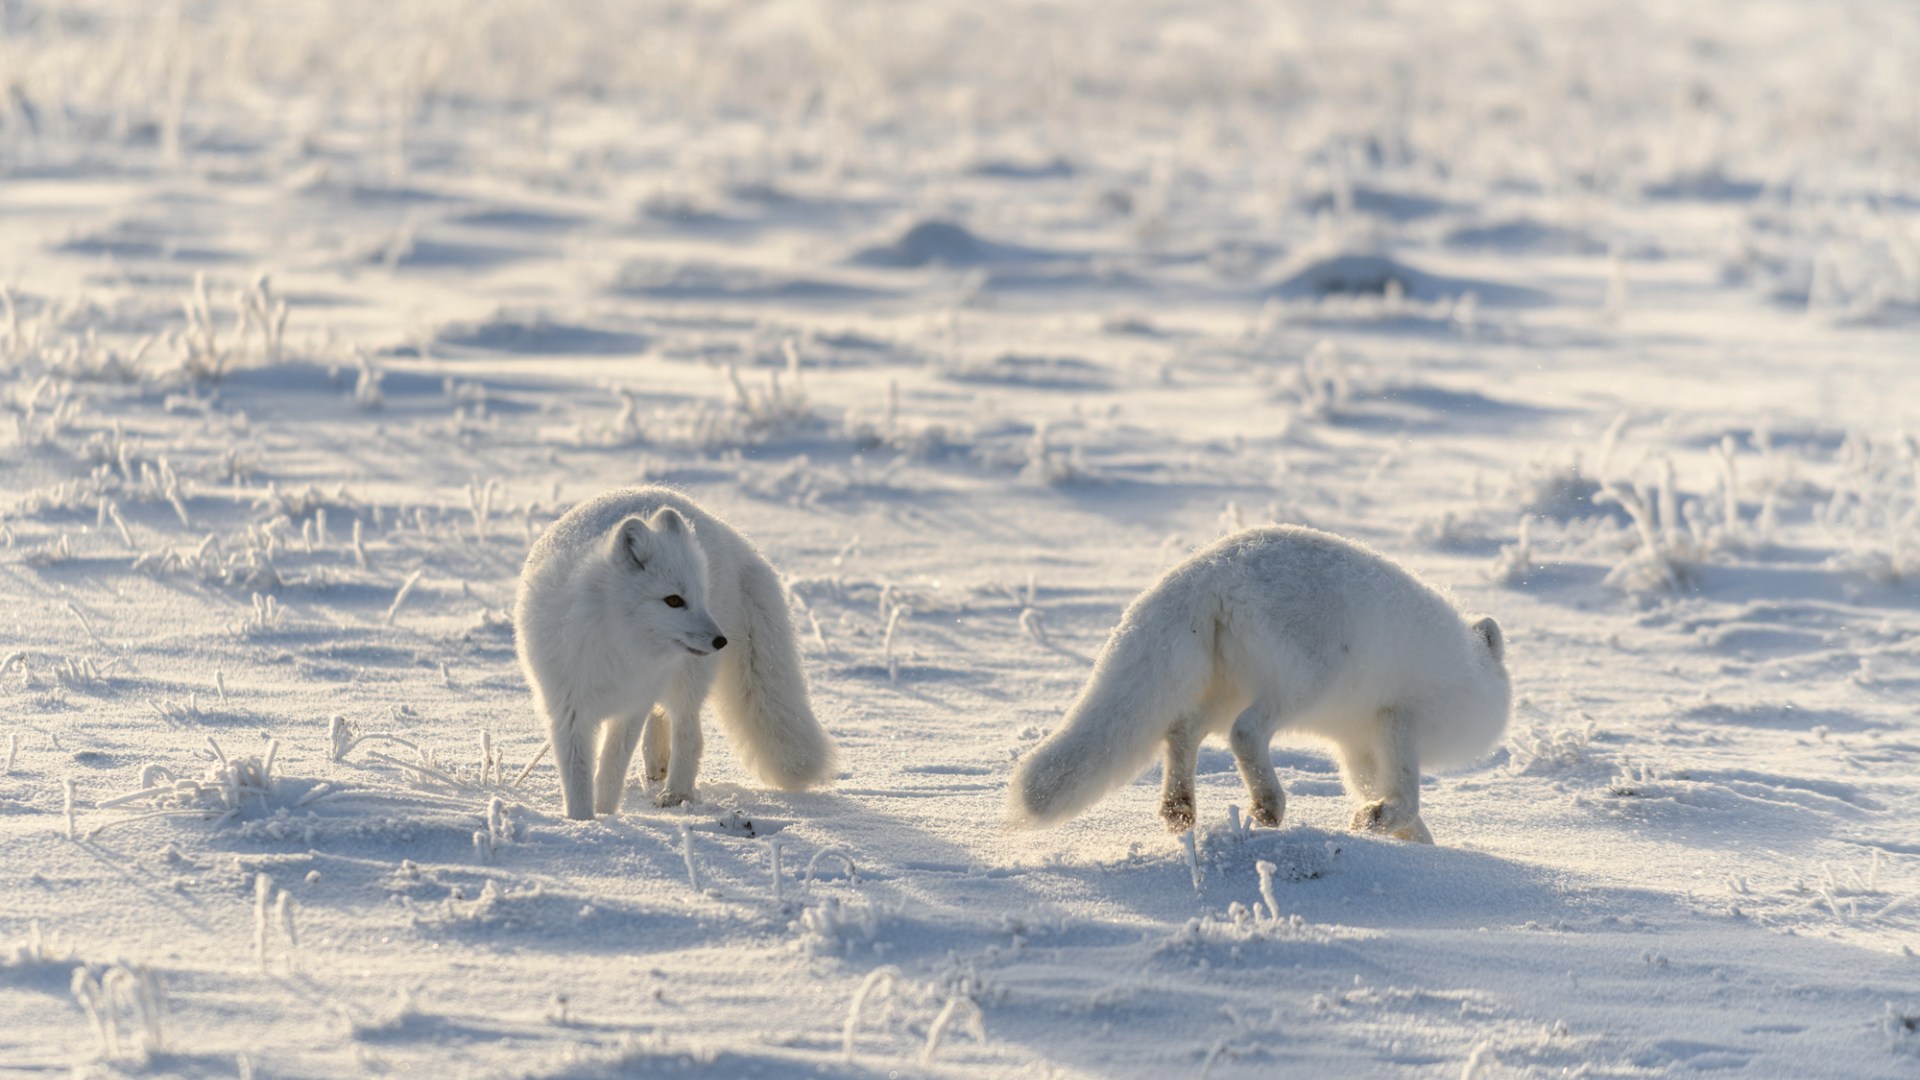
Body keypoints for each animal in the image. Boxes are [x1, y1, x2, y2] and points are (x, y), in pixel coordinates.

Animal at [514, 486, 837, 814]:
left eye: (700, 596)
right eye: (673, 600)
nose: (721, 641)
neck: (617, 645)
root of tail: (722, 527)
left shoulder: (632, 707)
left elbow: (610, 770)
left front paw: (605, 815)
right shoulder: (568, 711)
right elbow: (577, 779)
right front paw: (582, 821)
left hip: (686, 678)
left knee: (689, 733)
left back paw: (676, 793)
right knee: (661, 718)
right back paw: (657, 765)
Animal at [1006, 522, 1512, 841]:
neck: (1469, 673)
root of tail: (1212, 566)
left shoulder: (1358, 746)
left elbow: (1375, 789)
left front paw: (1404, 839)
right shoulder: (1397, 719)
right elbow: (1405, 796)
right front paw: (1377, 823)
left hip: (1223, 687)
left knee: (1180, 730)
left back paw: (1180, 809)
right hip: (1304, 682)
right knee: (1245, 732)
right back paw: (1268, 806)